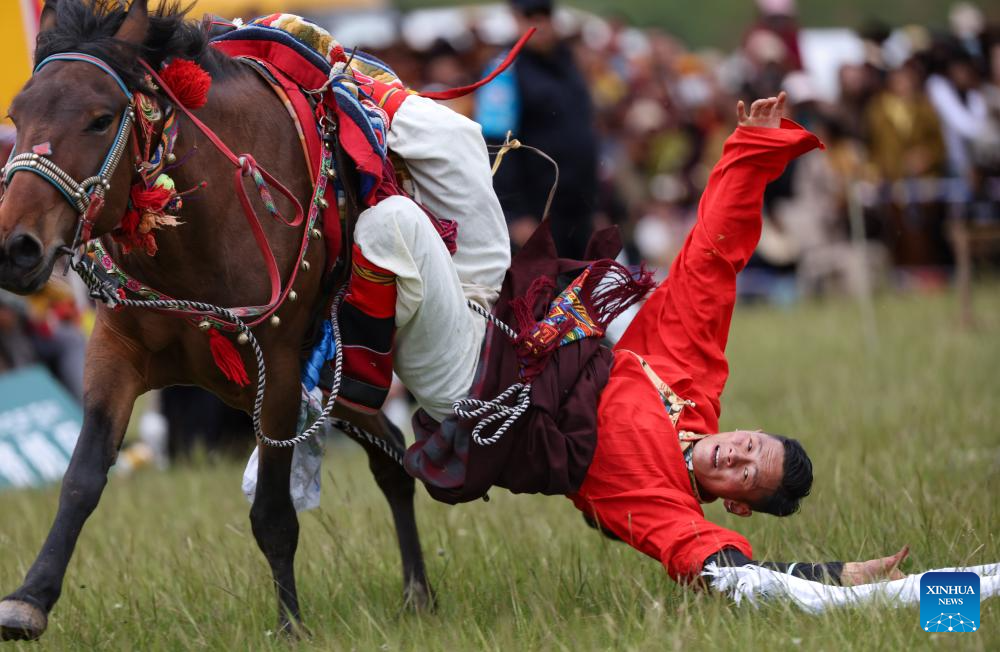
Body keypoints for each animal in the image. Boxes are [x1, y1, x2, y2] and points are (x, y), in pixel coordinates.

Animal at [0, 0, 430, 640]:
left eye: (100, 120)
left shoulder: (278, 366)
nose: (16, 248)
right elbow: (81, 479)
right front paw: (30, 598)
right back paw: (417, 590)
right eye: (16, 115)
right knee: (393, 454)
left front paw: (290, 625)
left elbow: (273, 512)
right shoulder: (115, 352)